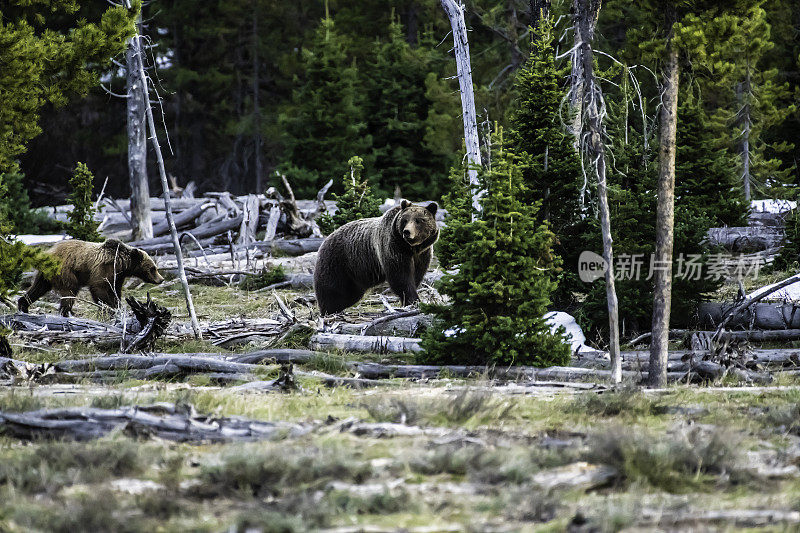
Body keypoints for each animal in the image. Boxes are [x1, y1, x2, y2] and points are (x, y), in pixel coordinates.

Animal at [17, 238, 163, 316]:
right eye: (153, 268)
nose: (161, 279)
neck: (121, 264)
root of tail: (47, 254)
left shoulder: (117, 276)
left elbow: (115, 291)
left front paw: (118, 306)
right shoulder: (103, 269)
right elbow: (99, 288)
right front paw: (110, 308)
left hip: (45, 275)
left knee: (37, 288)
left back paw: (23, 305)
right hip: (65, 272)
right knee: (69, 292)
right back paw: (66, 312)